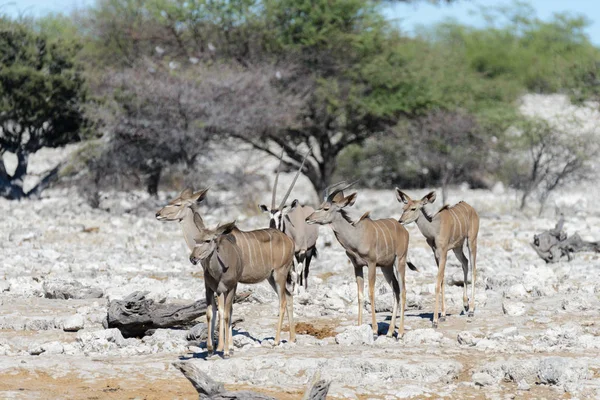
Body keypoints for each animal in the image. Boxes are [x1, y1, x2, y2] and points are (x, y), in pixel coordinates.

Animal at [155, 189, 296, 346]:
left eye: (177, 204)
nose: (158, 214)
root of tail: (290, 241)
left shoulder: (226, 283)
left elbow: (223, 310)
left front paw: (224, 345)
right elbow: (225, 310)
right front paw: (227, 344)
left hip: (279, 273)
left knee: (283, 301)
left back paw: (276, 341)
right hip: (271, 277)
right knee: (289, 296)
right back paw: (292, 338)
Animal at [189, 222, 243, 360]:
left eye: (208, 240)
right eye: (195, 240)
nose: (193, 258)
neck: (219, 273)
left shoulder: (230, 288)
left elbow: (226, 315)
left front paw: (226, 351)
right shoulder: (209, 289)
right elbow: (209, 313)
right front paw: (209, 350)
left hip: (232, 288)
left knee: (229, 311)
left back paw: (230, 348)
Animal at [260, 150, 322, 290]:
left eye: (280, 216)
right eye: (269, 216)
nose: (272, 229)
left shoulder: (303, 250)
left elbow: (299, 270)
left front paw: (298, 291)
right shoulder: (292, 253)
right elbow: (293, 272)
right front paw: (293, 290)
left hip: (309, 250)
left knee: (305, 270)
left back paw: (305, 287)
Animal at [304, 184, 418, 338]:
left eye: (326, 208)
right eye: (320, 206)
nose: (308, 218)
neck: (356, 236)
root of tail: (403, 229)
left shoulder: (371, 263)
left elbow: (371, 293)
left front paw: (375, 330)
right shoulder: (357, 266)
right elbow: (360, 295)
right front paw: (359, 326)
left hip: (399, 260)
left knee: (403, 291)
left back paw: (399, 333)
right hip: (386, 267)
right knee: (396, 290)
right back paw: (389, 332)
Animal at [396, 190, 480, 328]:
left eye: (413, 208)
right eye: (403, 208)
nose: (400, 221)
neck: (434, 228)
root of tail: (471, 208)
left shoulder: (444, 252)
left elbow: (437, 283)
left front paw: (435, 321)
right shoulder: (436, 254)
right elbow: (442, 281)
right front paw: (443, 315)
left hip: (471, 240)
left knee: (473, 268)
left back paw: (472, 310)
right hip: (457, 247)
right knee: (465, 262)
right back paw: (466, 304)